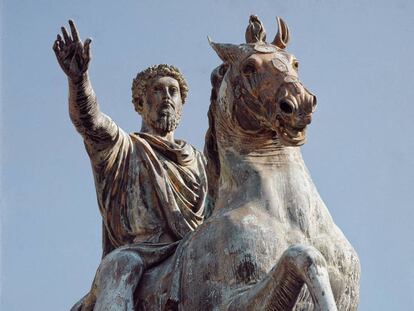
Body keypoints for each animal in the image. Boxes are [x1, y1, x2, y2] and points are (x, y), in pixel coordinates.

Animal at [136, 15, 360, 310]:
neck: (293, 219)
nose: (299, 103)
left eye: (294, 62)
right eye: (249, 67)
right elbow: (306, 256)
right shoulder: (224, 302)